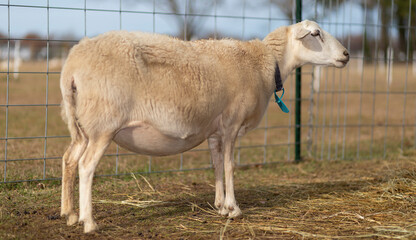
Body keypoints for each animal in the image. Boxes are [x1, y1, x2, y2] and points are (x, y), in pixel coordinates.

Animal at [60, 19, 350, 233]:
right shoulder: (232, 123)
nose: (346, 55)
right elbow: (230, 166)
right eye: (316, 33)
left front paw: (220, 205)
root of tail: (72, 66)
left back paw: (70, 214)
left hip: (81, 125)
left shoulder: (215, 131)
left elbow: (217, 165)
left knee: (69, 159)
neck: (263, 65)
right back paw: (89, 222)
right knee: (86, 166)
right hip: (103, 125)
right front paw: (234, 209)